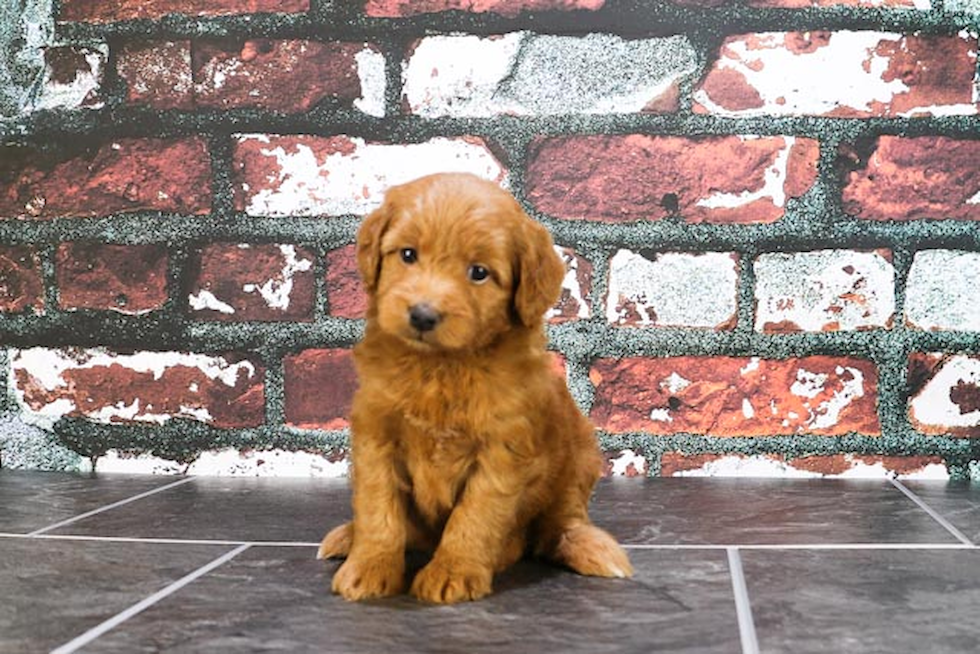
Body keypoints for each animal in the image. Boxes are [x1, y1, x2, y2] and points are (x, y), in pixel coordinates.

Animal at [318, 170, 632, 604]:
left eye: (479, 273)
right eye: (408, 254)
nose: (423, 315)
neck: (441, 366)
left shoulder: (502, 449)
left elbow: (476, 515)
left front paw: (453, 571)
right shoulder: (376, 434)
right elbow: (378, 510)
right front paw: (368, 568)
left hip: (580, 454)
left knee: (555, 527)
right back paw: (346, 537)